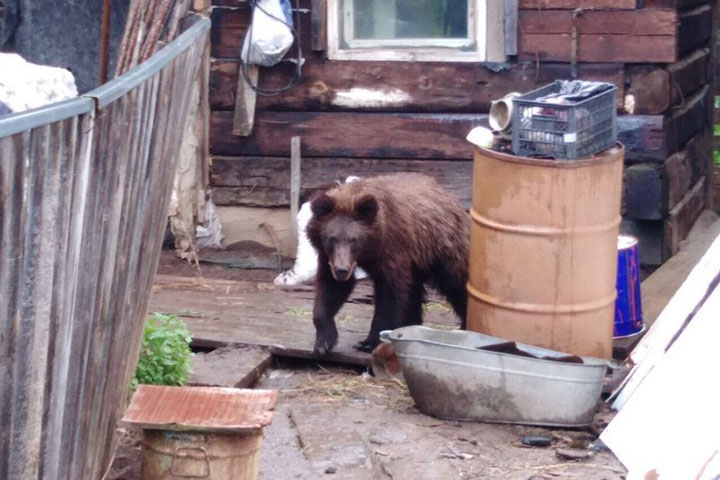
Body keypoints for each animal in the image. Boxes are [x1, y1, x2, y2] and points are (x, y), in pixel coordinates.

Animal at [306, 174, 470, 354]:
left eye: (354, 240)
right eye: (331, 238)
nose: (341, 270)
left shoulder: (392, 251)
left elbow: (389, 295)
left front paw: (369, 342)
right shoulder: (328, 257)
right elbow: (330, 290)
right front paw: (324, 341)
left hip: (442, 248)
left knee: (457, 284)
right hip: (417, 262)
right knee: (413, 291)